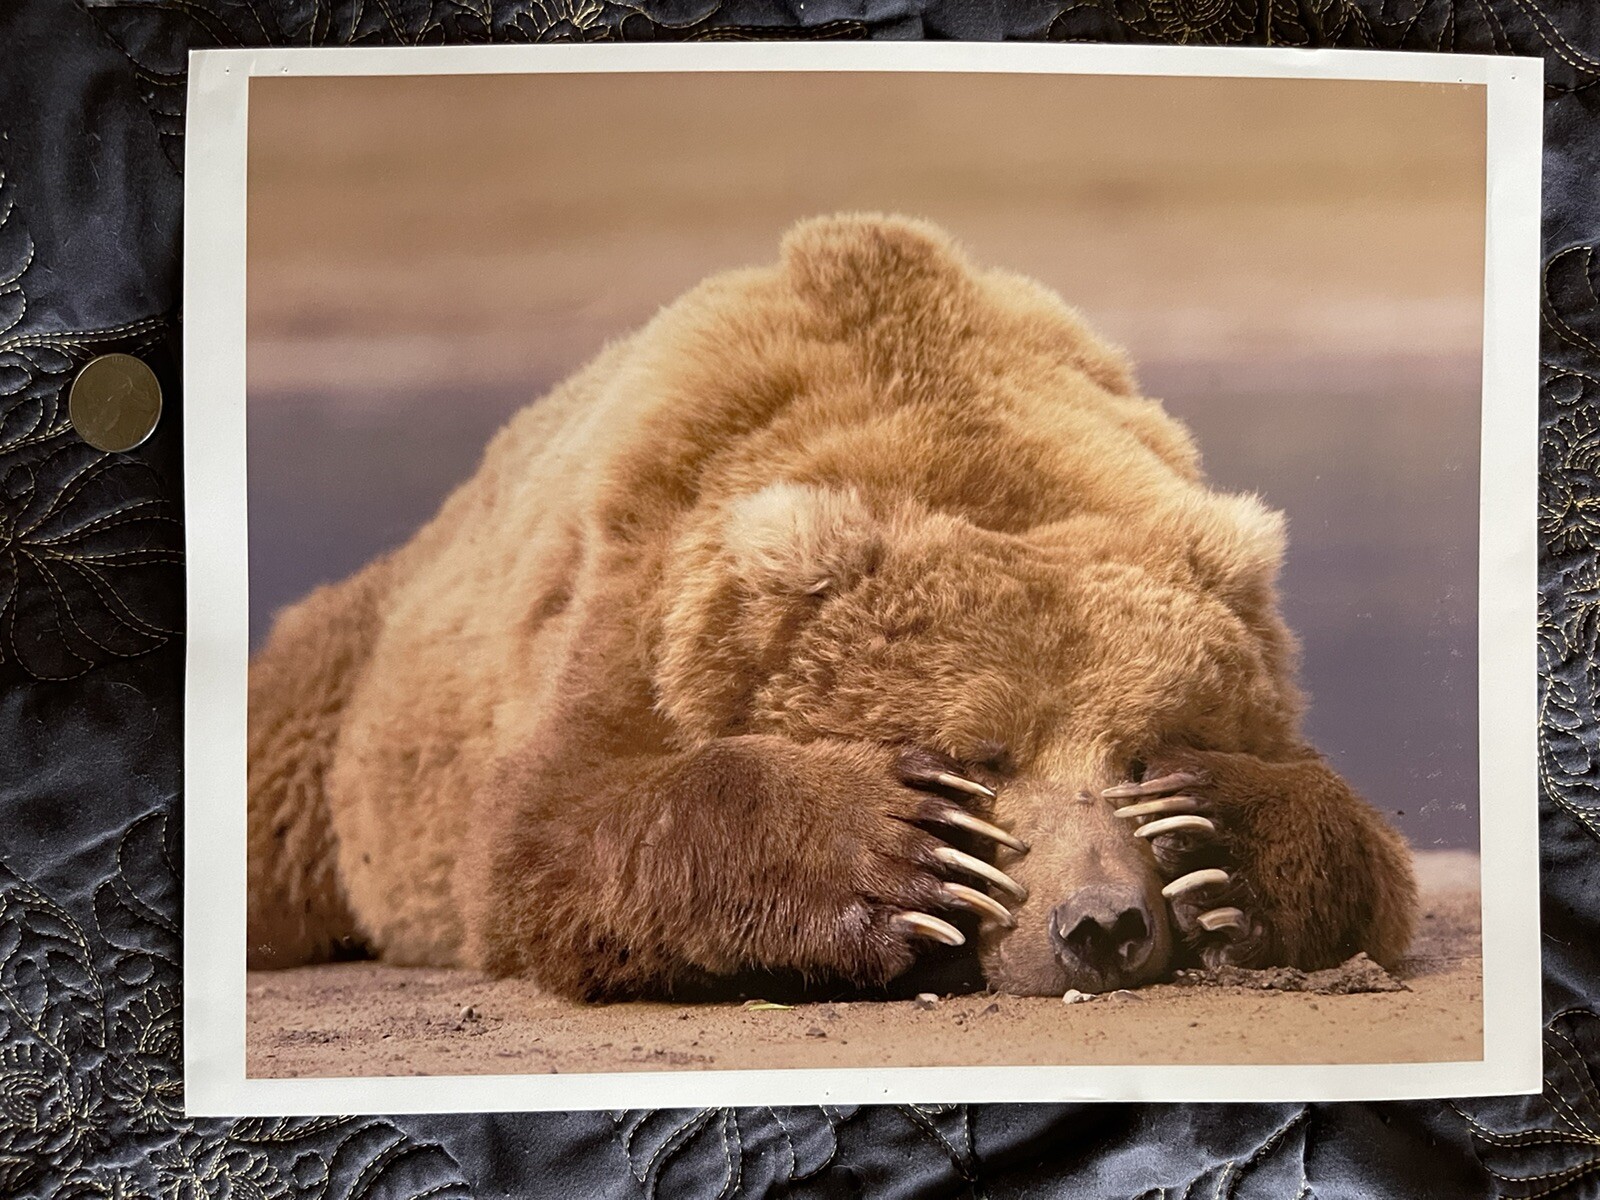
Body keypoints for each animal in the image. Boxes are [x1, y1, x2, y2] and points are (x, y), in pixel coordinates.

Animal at [247, 213, 1417, 1002]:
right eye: (983, 756)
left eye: (1146, 746)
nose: (1101, 926)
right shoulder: (633, 594)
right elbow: (549, 830)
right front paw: (893, 849)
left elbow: (1353, 835)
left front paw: (1215, 844)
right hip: (342, 704)